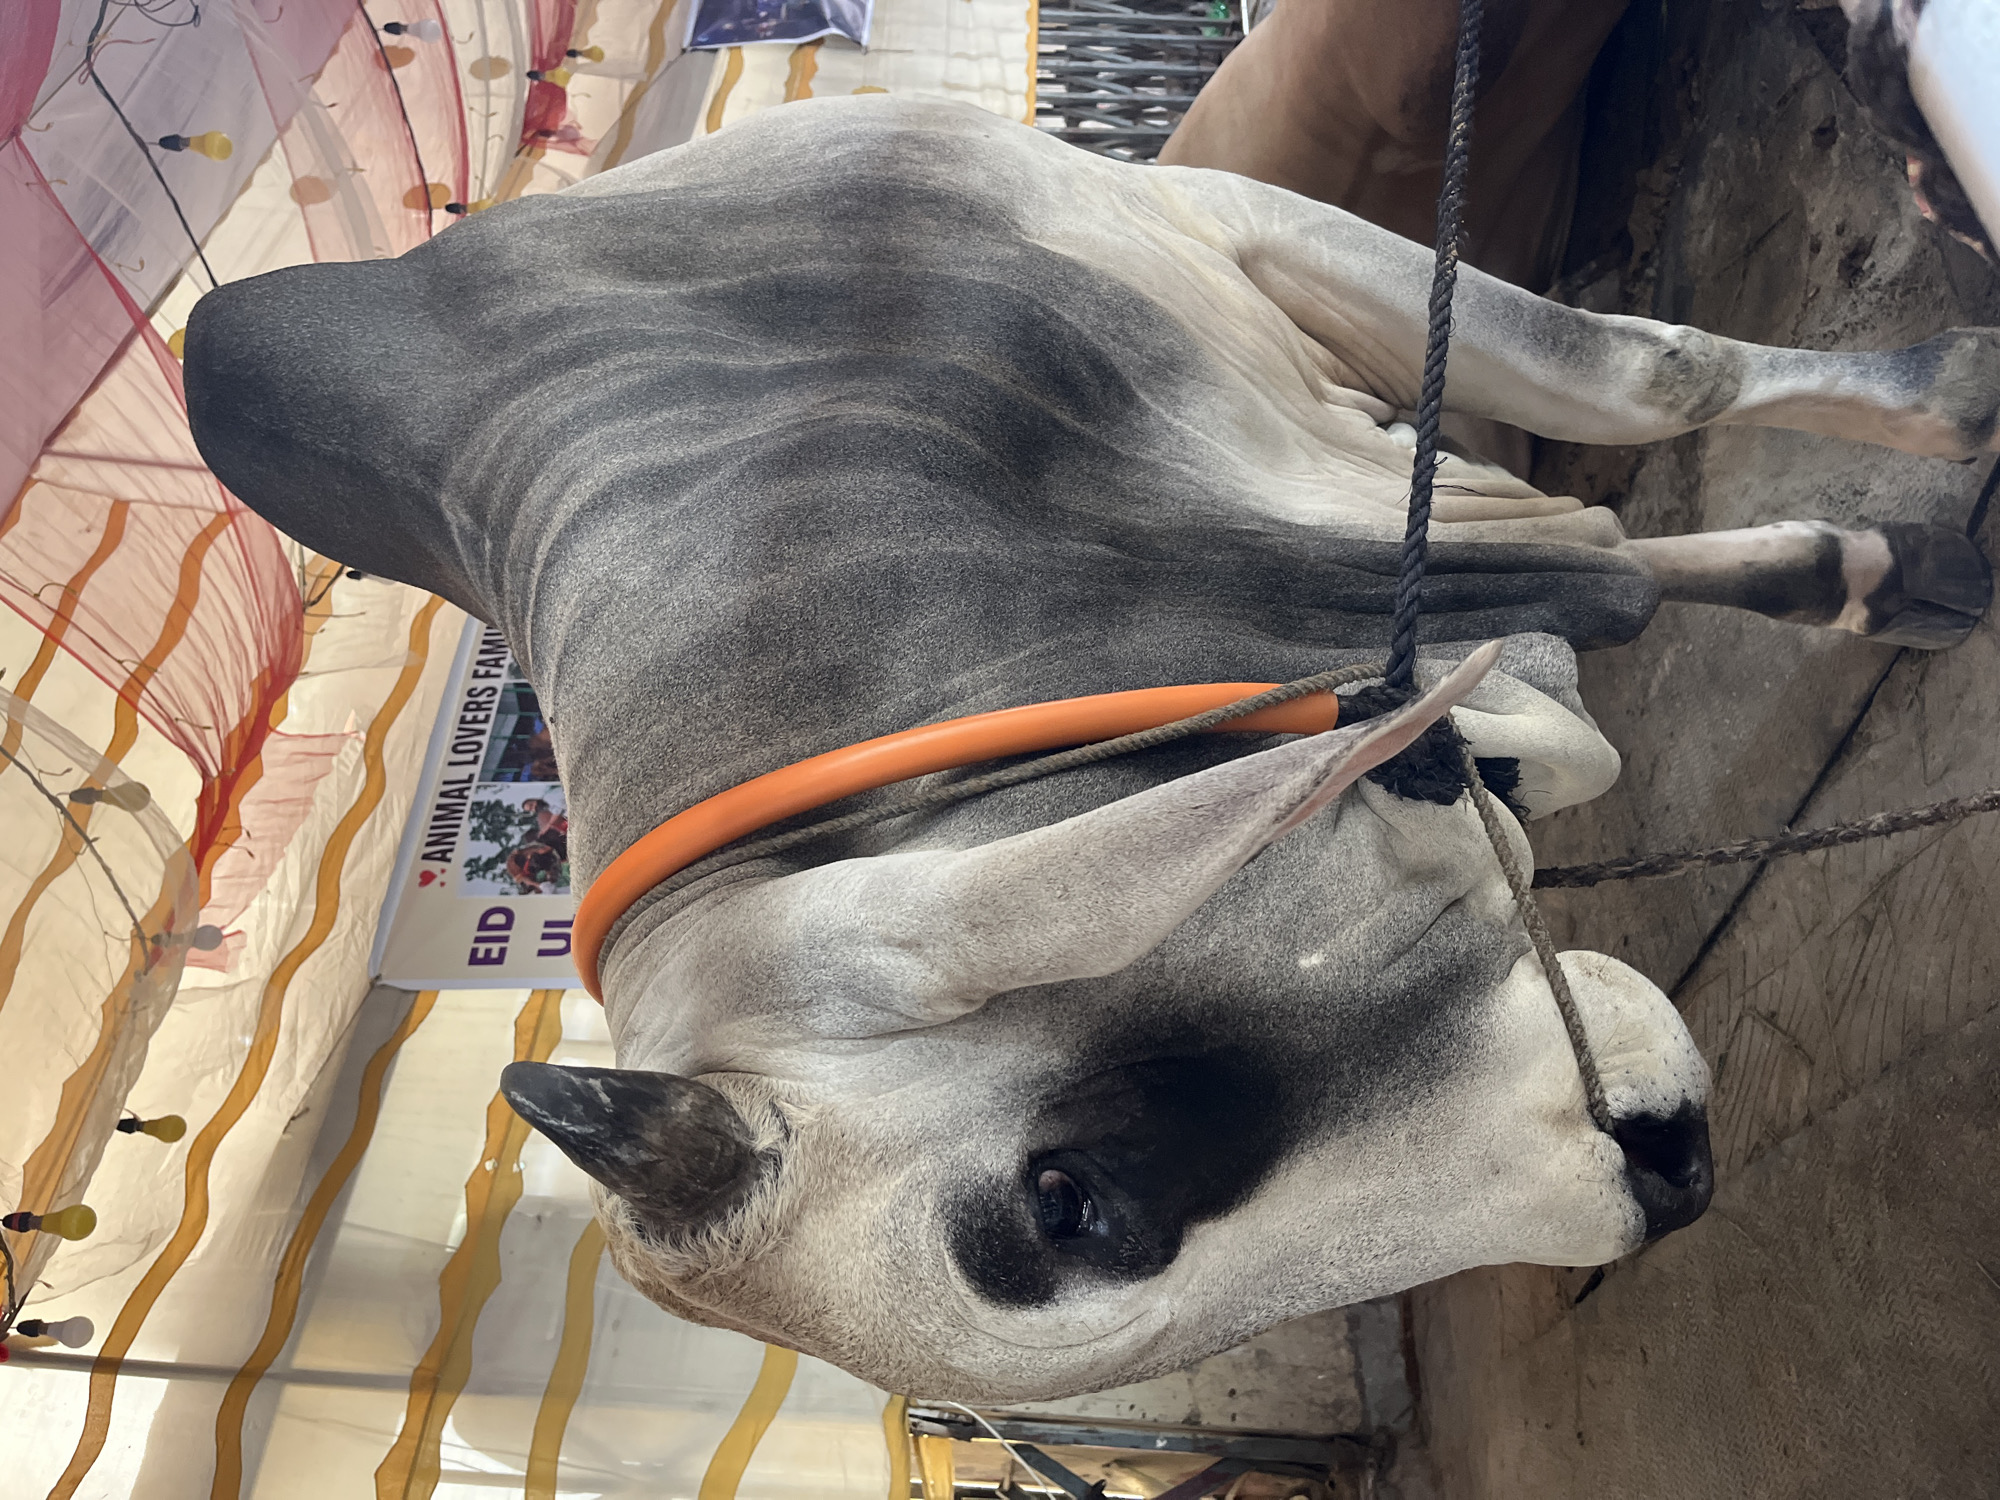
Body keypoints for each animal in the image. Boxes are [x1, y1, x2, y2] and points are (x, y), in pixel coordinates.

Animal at [183, 94, 1996, 1401]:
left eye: (1072, 1200)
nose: (1669, 1172)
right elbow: (1593, 608)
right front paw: (1878, 563)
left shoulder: (1222, 237)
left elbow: (1649, 390)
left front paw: (1940, 431)